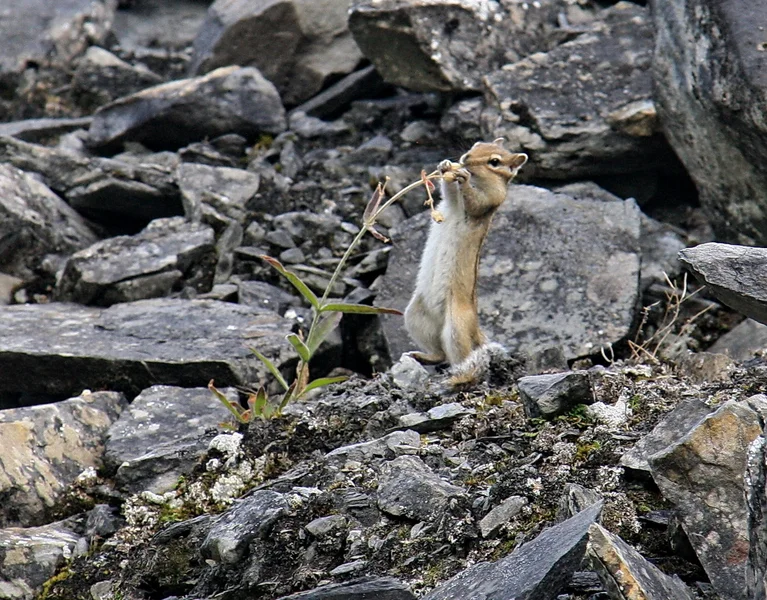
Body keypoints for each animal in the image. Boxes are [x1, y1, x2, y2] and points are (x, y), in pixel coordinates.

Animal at [404, 139, 528, 369]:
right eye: (476, 144)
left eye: (494, 162)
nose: (466, 158)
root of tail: (476, 329)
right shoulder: (452, 200)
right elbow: (448, 192)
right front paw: (445, 166)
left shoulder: (490, 199)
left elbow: (475, 201)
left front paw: (464, 178)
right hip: (415, 315)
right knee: (439, 353)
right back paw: (422, 356)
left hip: (455, 327)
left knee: (459, 355)